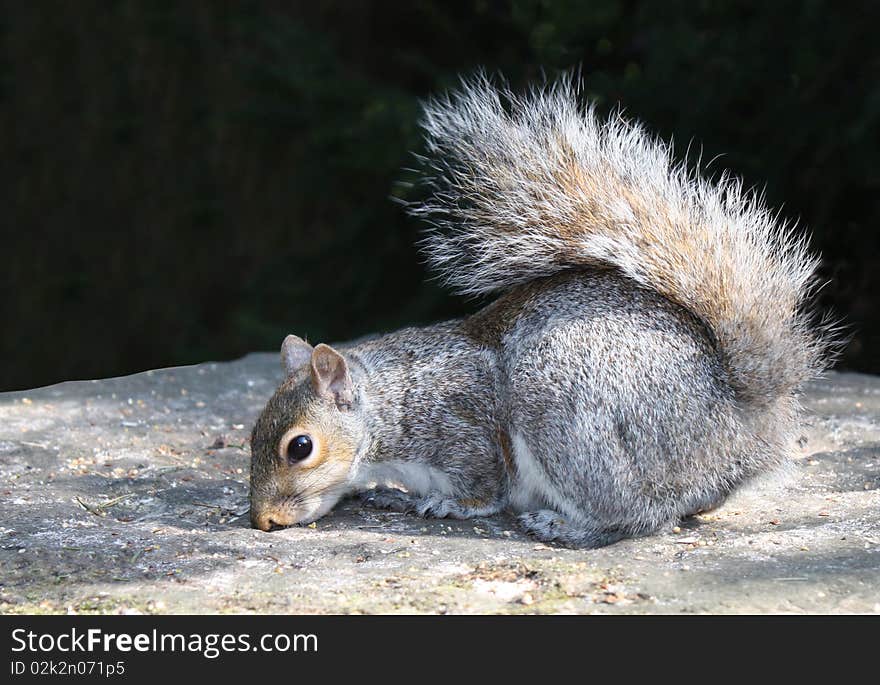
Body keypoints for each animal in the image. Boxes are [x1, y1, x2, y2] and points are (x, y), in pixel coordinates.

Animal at [248, 75, 832, 544]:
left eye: (300, 447)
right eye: (252, 433)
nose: (262, 521)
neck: (392, 409)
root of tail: (738, 423)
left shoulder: (466, 428)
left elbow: (484, 488)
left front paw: (447, 504)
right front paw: (390, 493)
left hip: (564, 413)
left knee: (643, 515)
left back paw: (565, 525)